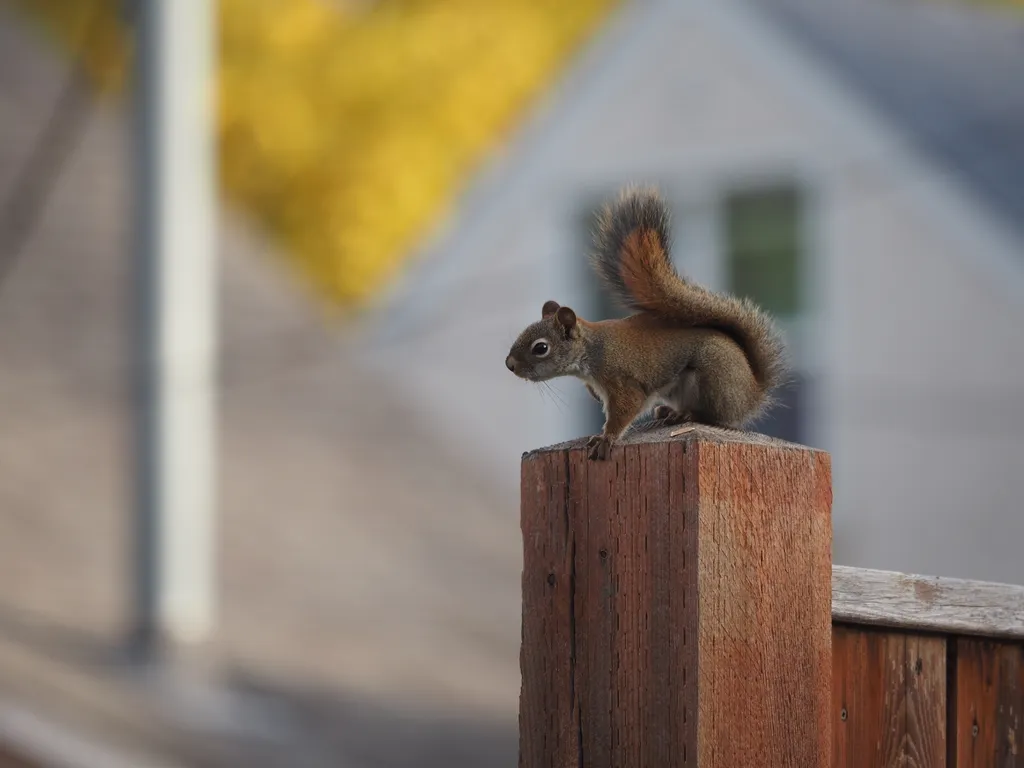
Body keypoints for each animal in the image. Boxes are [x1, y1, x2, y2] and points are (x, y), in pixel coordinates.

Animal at [507, 185, 786, 462]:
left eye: (540, 348)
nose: (510, 365)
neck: (592, 350)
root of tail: (753, 392)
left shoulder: (621, 380)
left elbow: (626, 408)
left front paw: (605, 439)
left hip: (714, 380)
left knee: (716, 418)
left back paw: (687, 415)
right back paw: (670, 412)